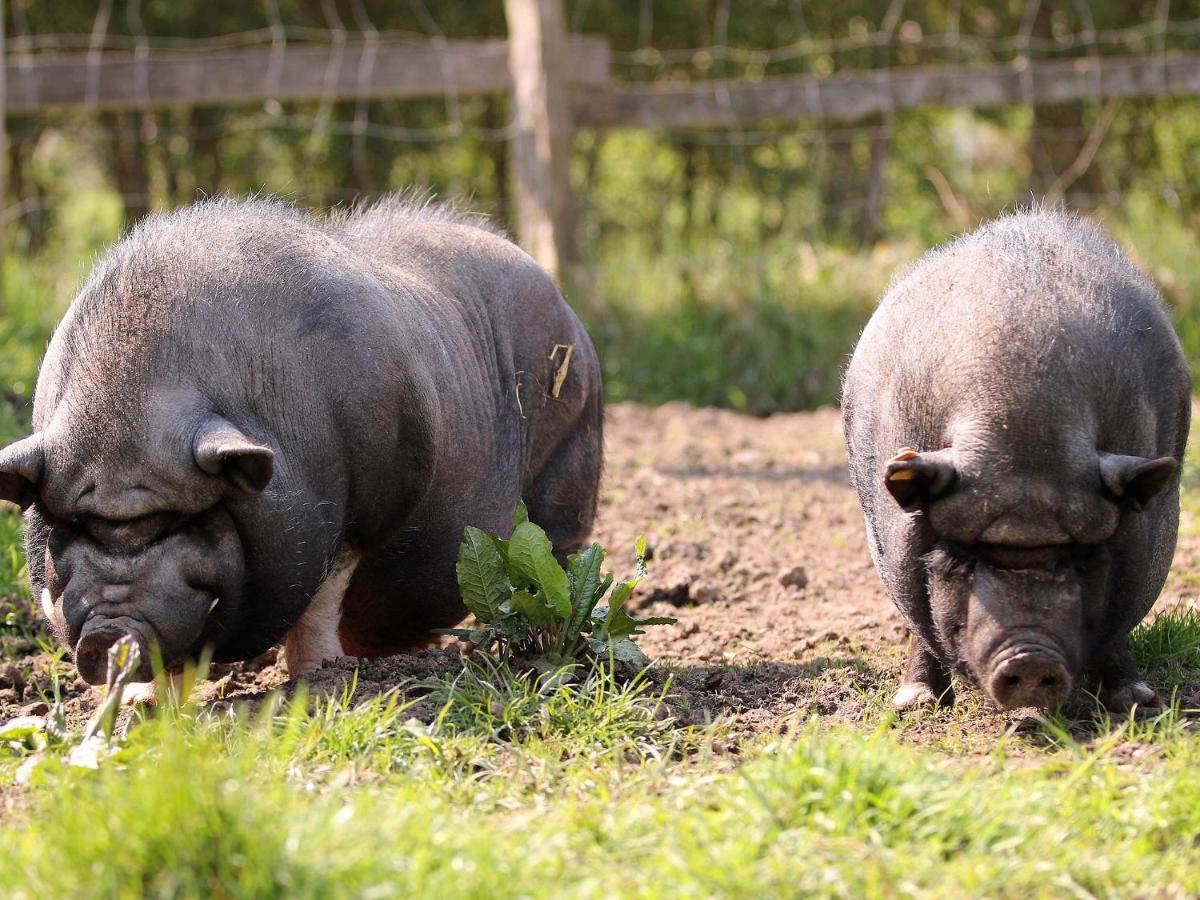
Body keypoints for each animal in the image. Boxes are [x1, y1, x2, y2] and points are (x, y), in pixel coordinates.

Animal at [0, 196, 604, 686]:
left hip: (567, 471)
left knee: (553, 559)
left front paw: (318, 678)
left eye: (182, 523)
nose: (110, 633)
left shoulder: (366, 505)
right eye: (76, 523)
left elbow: (321, 602)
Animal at [844, 210, 1190, 710]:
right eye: (961, 558)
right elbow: (920, 628)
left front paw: (1137, 701)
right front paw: (916, 703)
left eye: (1082, 557)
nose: (1029, 657)